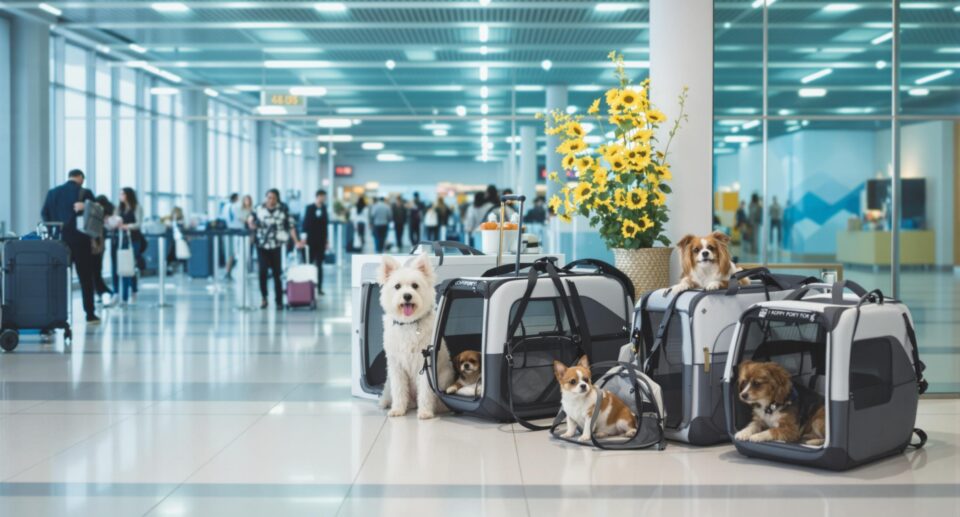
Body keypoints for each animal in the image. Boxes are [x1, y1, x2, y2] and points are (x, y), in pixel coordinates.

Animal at [376, 254, 454, 420]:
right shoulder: (396, 366)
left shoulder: (424, 365)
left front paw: (425, 412)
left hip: (444, 377)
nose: (407, 296)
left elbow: (425, 392)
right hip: (388, 383)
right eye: (397, 286)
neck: (408, 323)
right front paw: (398, 409)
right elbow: (399, 390)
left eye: (415, 285)